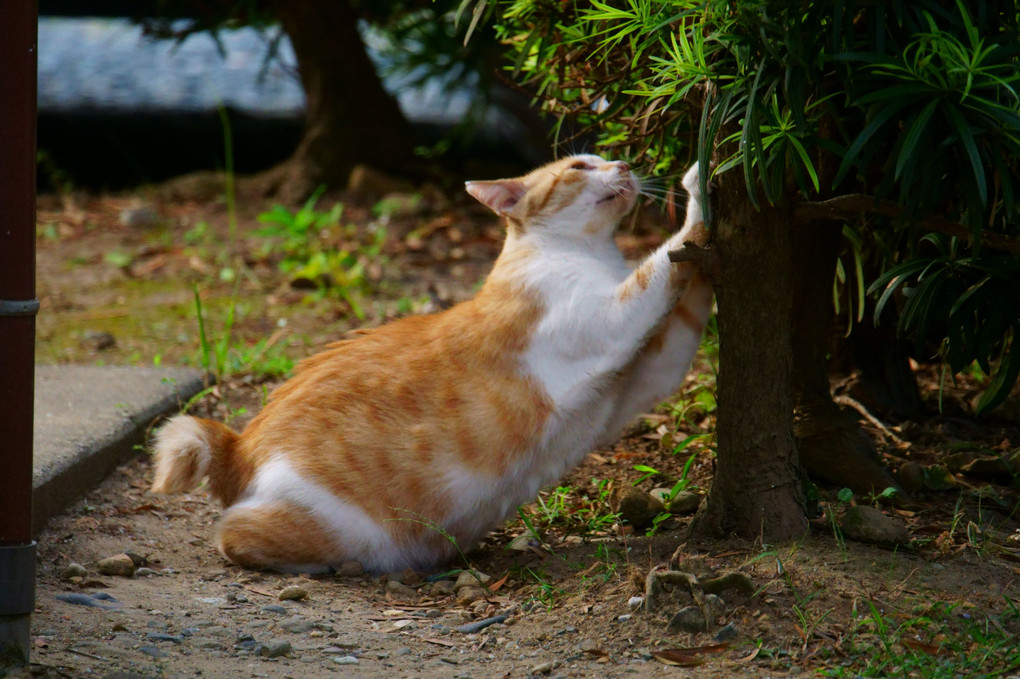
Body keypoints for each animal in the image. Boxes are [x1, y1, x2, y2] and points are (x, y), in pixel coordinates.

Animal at [150, 154, 714, 570]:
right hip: (344, 528)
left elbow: (688, 290)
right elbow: (666, 258)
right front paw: (702, 184)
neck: (588, 253)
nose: (623, 161)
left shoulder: (650, 370)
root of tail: (241, 444)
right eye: (579, 165)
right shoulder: (615, 321)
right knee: (234, 535)